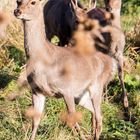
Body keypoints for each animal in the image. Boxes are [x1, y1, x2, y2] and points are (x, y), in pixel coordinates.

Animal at [13, 0, 117, 139]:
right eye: (17, 1)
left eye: (33, 2)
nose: (17, 11)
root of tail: (111, 63)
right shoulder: (36, 90)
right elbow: (35, 121)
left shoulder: (66, 89)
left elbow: (72, 117)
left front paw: (81, 137)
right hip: (80, 94)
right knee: (94, 112)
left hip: (97, 85)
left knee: (99, 116)